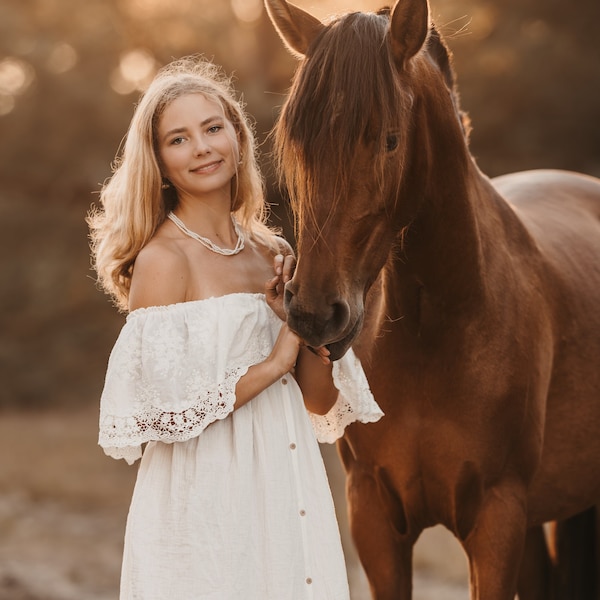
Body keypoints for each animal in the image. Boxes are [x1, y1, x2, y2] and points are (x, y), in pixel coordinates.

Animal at [266, 1, 600, 600]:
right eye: (297, 141)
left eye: (390, 140)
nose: (314, 314)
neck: (433, 337)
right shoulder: (375, 520)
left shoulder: (495, 522)